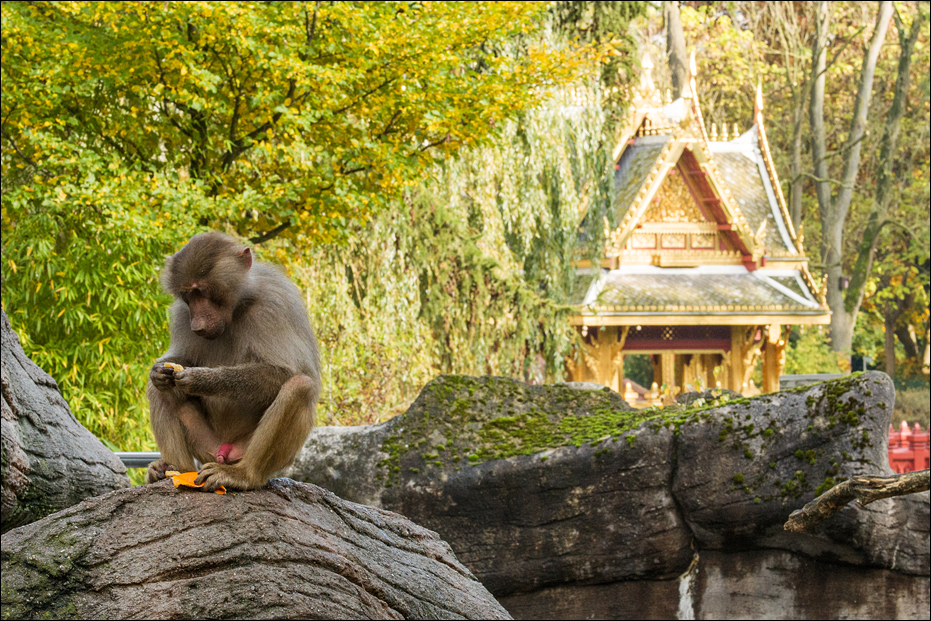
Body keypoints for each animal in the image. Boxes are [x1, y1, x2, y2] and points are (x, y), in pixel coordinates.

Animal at [145, 232, 321, 491]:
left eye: (202, 291)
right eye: (188, 296)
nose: (197, 325)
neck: (239, 306)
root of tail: (223, 452)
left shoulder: (274, 305)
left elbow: (285, 372)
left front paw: (201, 378)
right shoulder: (182, 314)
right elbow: (170, 368)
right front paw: (159, 372)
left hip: (246, 451)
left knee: (300, 386)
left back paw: (242, 475)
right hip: (205, 445)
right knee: (159, 390)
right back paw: (173, 470)